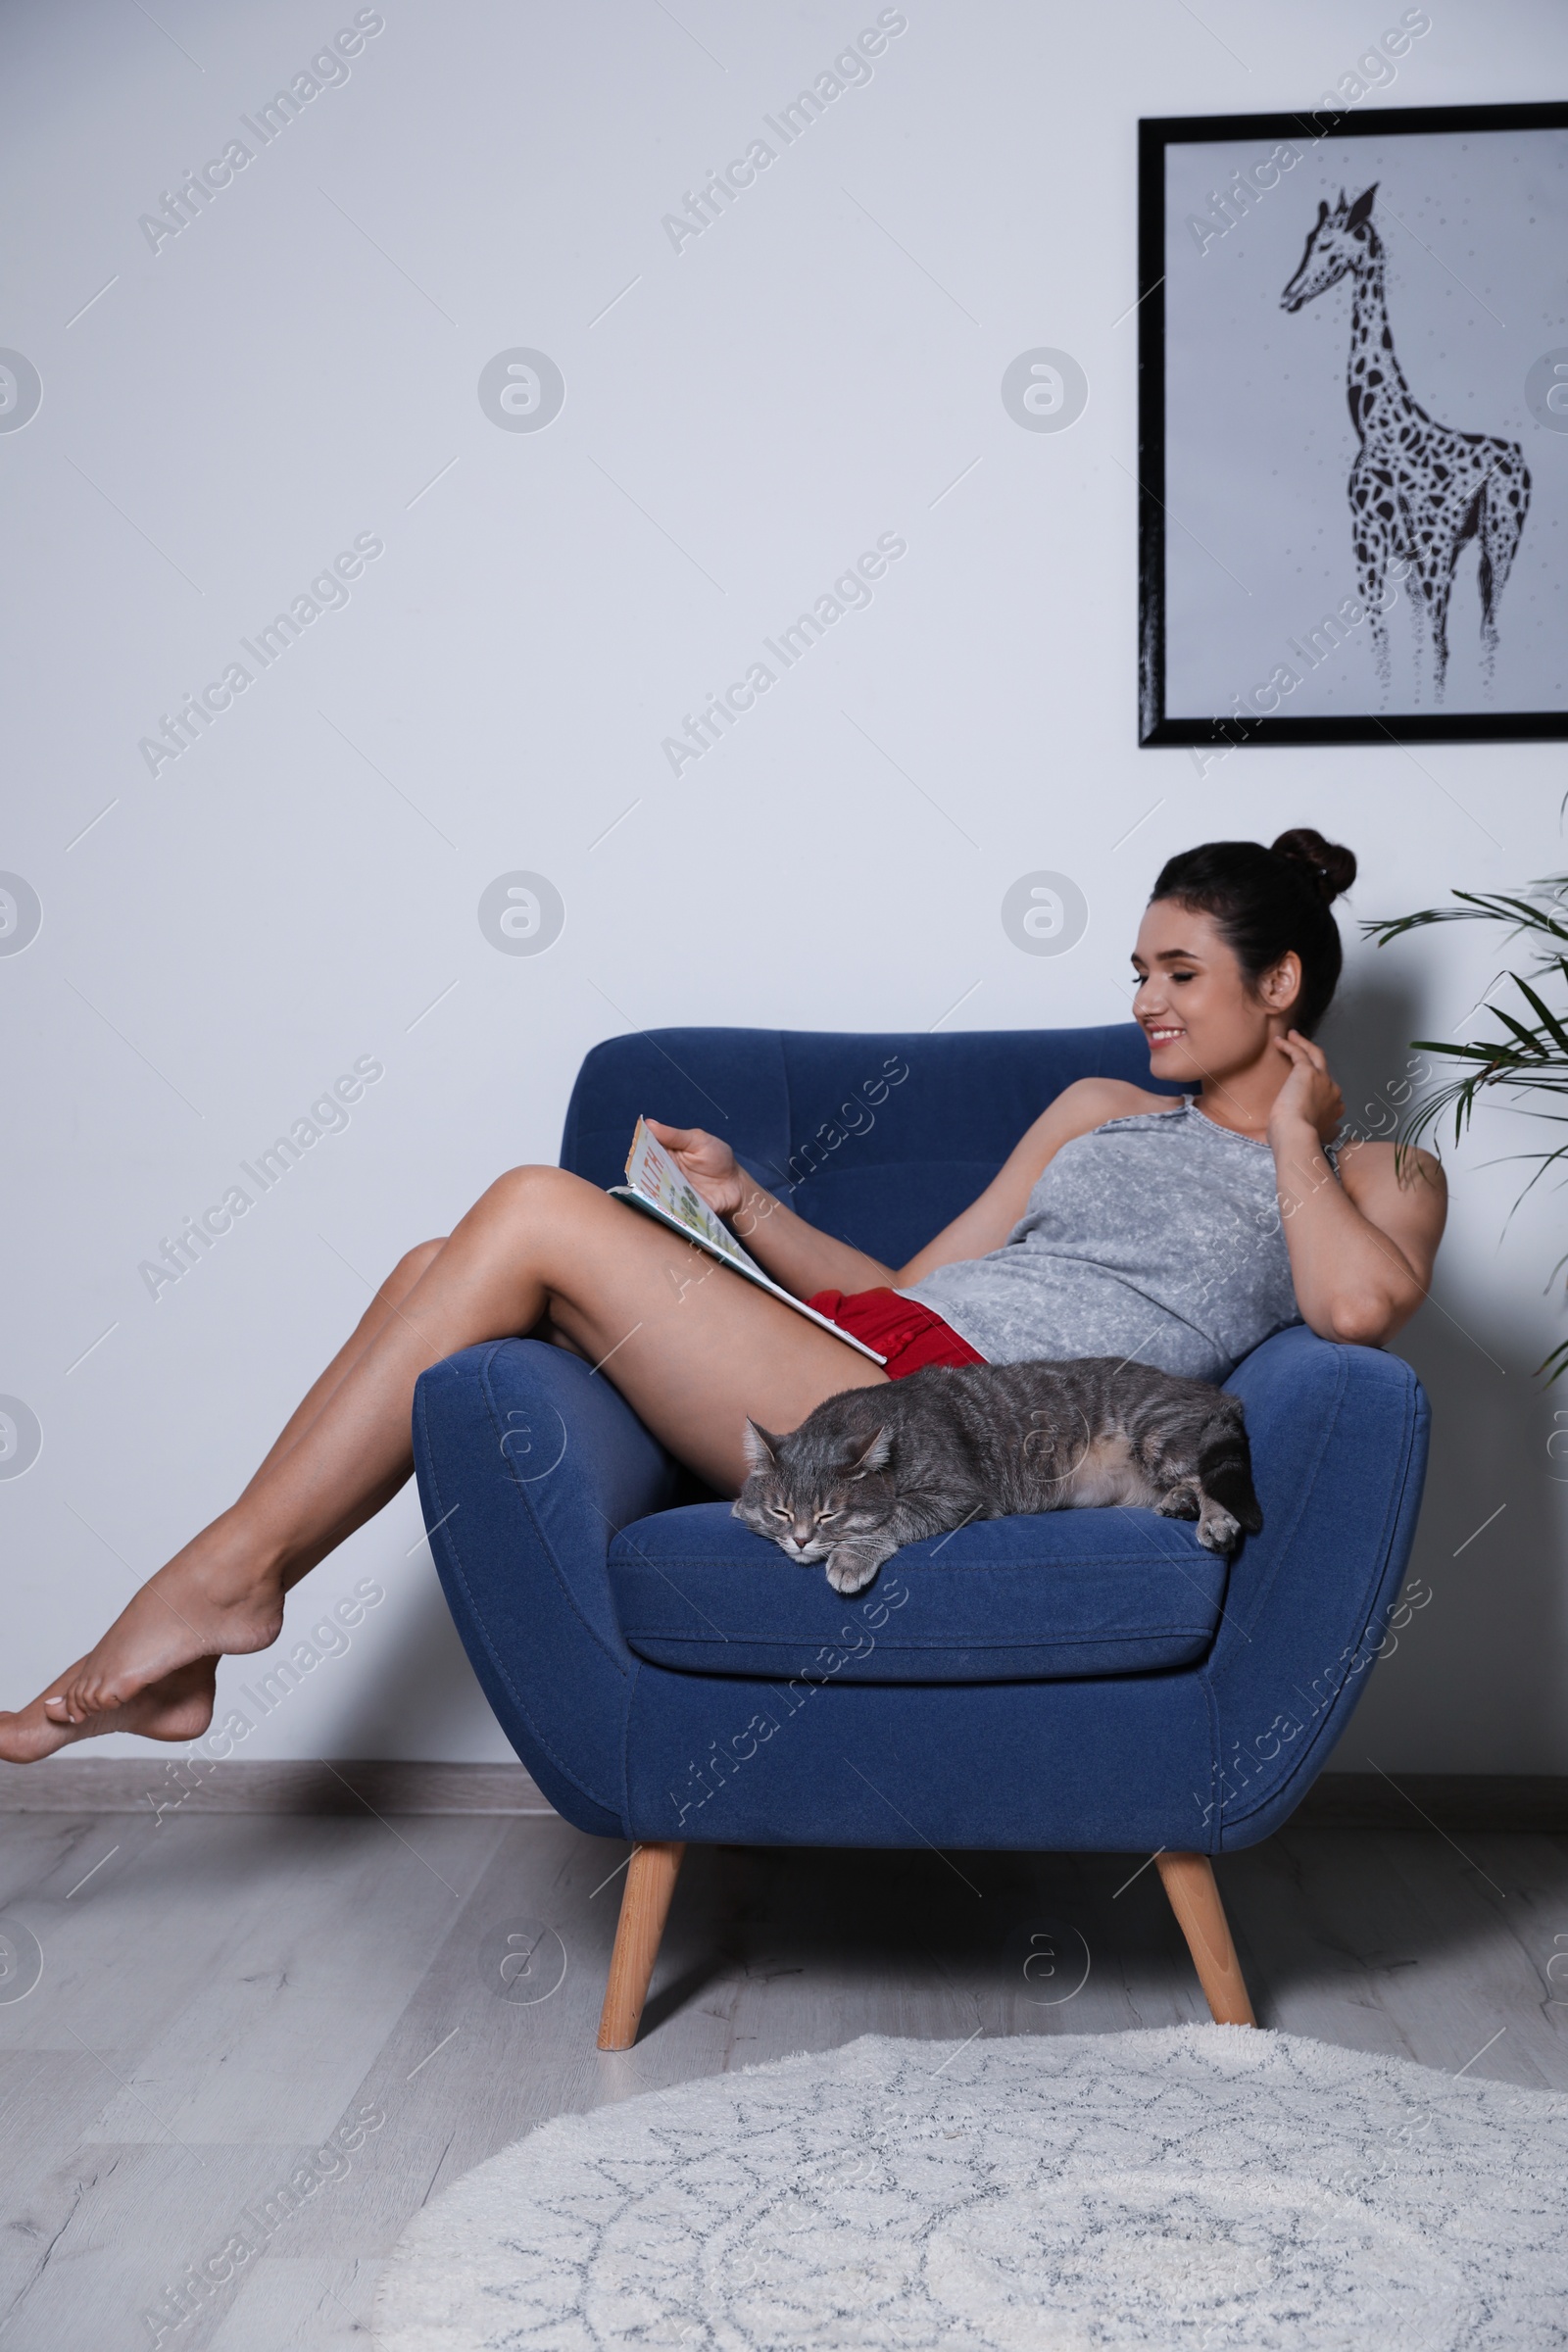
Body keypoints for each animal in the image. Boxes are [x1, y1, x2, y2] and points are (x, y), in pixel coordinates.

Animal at [738, 1364, 1259, 1599]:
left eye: (830, 1513)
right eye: (781, 1510)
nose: (801, 1540)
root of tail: (1215, 1391)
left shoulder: (957, 1494)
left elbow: (890, 1518)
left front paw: (849, 1557)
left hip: (1157, 1432)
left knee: (1205, 1476)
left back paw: (1213, 1519)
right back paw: (1179, 1503)